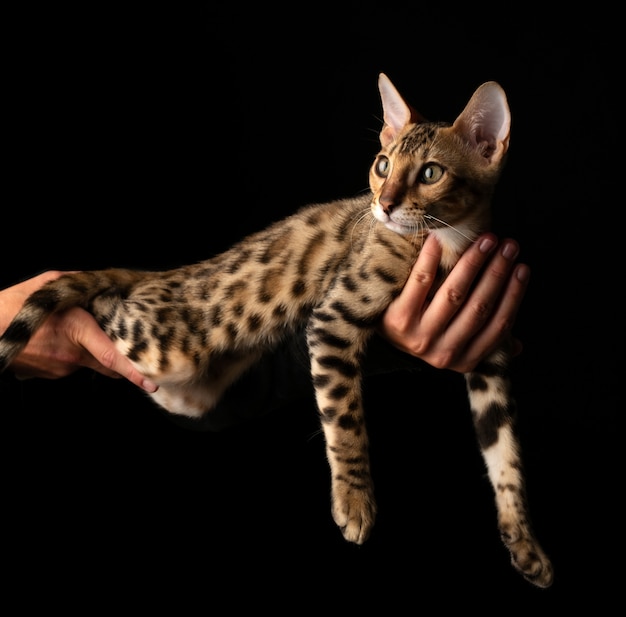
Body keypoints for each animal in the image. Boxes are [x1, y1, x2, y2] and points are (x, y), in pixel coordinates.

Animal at [3, 72, 552, 588]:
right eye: (382, 165)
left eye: (431, 173)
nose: (385, 204)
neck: (449, 244)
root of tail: (173, 273)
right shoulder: (334, 318)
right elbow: (345, 421)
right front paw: (354, 501)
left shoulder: (489, 354)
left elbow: (505, 455)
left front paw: (523, 541)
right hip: (165, 345)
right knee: (106, 305)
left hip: (189, 392)